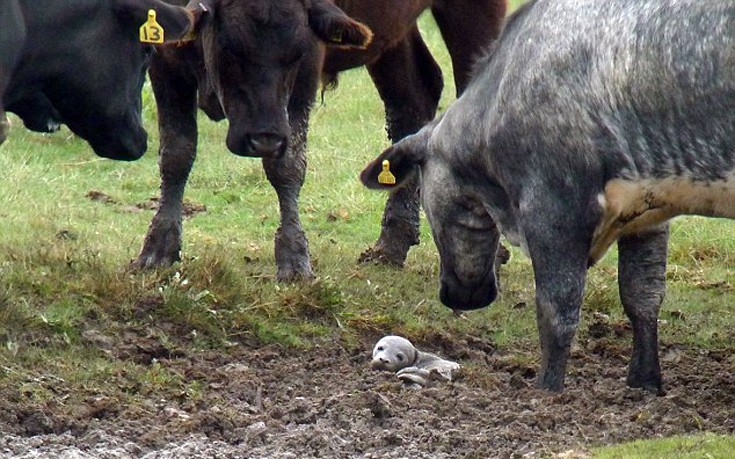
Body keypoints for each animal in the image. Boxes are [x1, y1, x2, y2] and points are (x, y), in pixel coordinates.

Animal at [131, 0, 506, 280]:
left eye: (296, 53)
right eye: (230, 48)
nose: (264, 139)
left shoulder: (307, 72)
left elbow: (287, 166)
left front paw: (294, 258)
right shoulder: (165, 61)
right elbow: (176, 154)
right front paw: (157, 250)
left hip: (472, 15)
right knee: (413, 100)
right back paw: (389, 245)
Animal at [360, 0, 735, 396]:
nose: (460, 296)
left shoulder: (554, 208)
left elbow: (557, 309)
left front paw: (547, 389)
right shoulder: (648, 206)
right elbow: (642, 295)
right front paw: (644, 383)